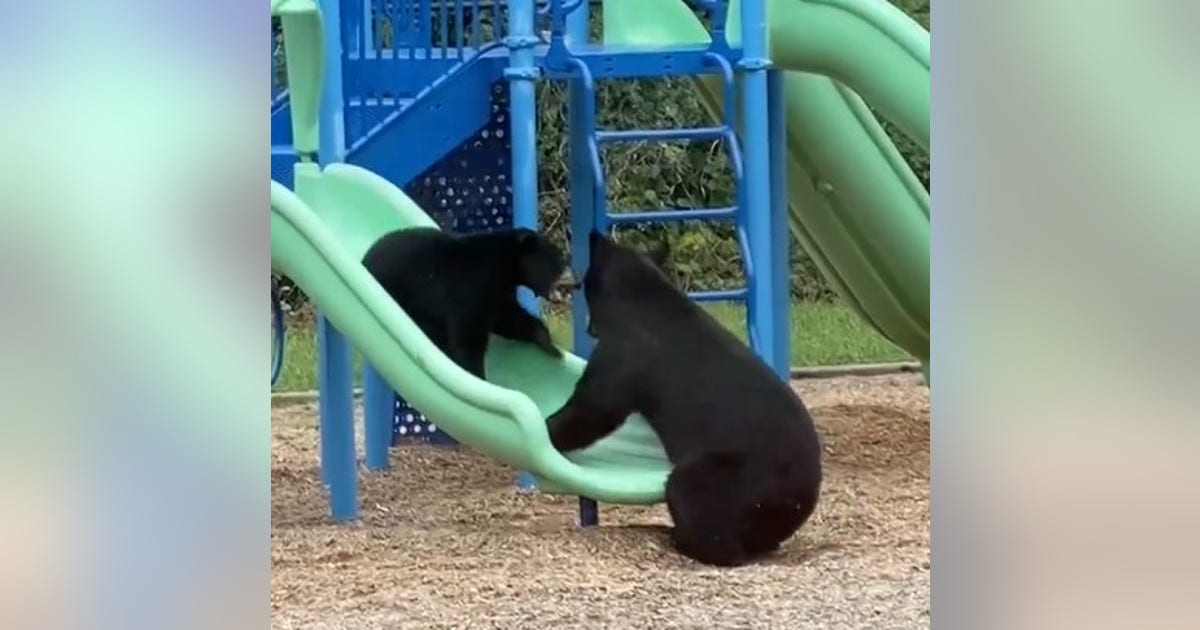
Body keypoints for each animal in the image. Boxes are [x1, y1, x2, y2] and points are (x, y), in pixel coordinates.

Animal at [361, 226, 568, 380]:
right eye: (556, 258)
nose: (573, 280)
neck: (502, 266)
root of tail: (365, 256)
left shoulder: (497, 294)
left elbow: (508, 319)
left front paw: (550, 345)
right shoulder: (470, 288)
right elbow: (468, 336)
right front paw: (477, 376)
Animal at [545, 230, 823, 567]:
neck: (639, 299)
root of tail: (798, 496)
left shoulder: (623, 355)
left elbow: (593, 409)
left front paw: (547, 428)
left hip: (726, 475)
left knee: (697, 505)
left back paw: (679, 538)